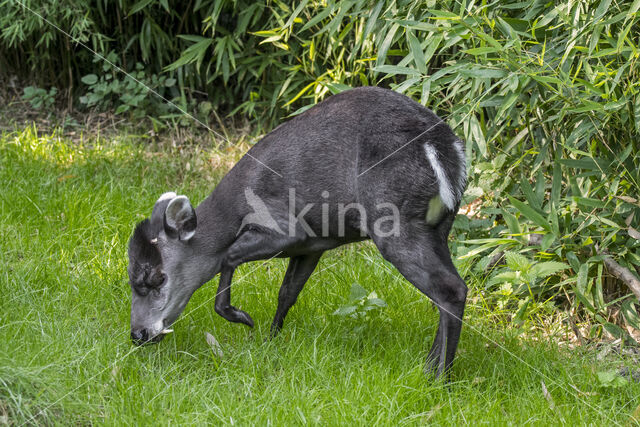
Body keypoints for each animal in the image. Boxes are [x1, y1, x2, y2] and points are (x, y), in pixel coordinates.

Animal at [127, 86, 468, 378]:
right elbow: (287, 292)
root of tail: (444, 147)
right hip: (440, 225)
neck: (233, 211)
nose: (138, 334)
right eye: (132, 278)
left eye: (157, 278)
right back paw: (430, 366)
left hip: (396, 221)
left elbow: (229, 255)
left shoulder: (288, 228)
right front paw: (270, 341)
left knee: (451, 288)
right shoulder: (313, 245)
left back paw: (440, 377)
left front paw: (241, 317)